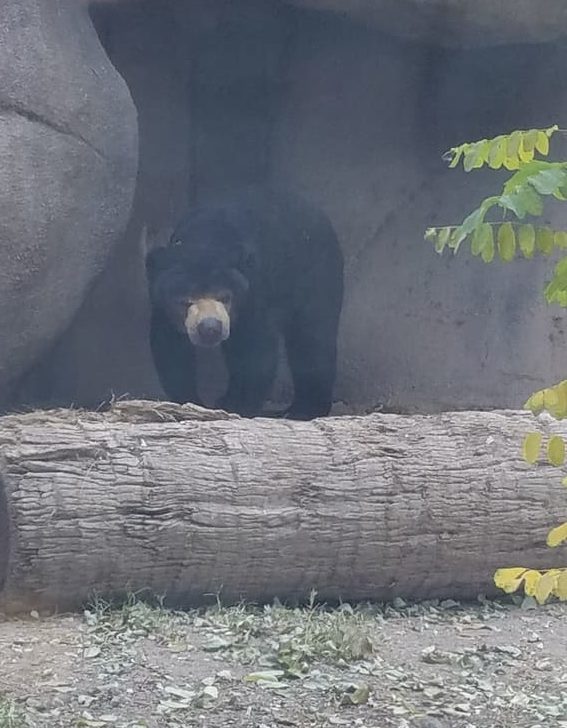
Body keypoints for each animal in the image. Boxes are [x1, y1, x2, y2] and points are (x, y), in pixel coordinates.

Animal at [145, 187, 344, 420]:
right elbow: (171, 347)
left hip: (315, 272)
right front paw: (193, 401)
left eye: (225, 297)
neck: (207, 238)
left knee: (313, 337)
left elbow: (258, 349)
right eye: (185, 302)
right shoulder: (161, 302)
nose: (210, 327)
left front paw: (240, 406)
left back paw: (303, 409)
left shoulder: (256, 291)